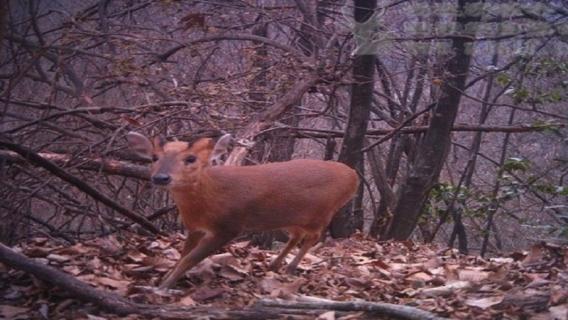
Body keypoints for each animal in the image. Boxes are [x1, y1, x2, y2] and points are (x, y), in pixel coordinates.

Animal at [129, 131, 360, 288]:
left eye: (191, 158)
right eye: (154, 157)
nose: (160, 177)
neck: (209, 198)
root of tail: (353, 177)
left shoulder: (229, 226)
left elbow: (190, 258)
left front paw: (163, 287)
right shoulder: (194, 228)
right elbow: (182, 255)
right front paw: (163, 279)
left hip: (321, 213)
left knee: (313, 237)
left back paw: (290, 267)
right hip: (291, 219)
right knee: (296, 236)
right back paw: (275, 264)